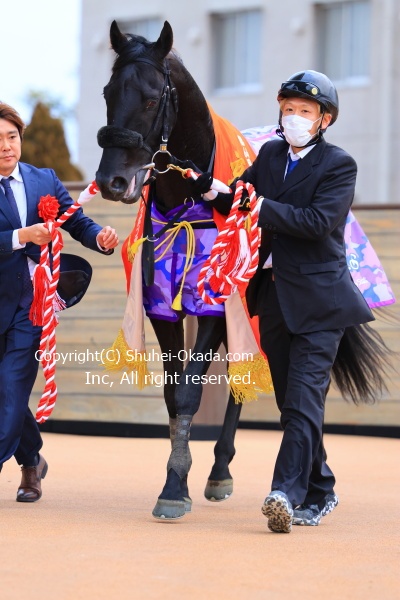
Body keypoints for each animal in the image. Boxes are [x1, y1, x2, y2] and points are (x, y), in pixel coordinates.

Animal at [95, 20, 391, 520]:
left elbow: (192, 392)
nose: (112, 182)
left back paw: (246, 476)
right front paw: (177, 479)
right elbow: (174, 395)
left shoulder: (217, 305)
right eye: (107, 93)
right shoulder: (161, 307)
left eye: (152, 99)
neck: (186, 208)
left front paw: (174, 487)